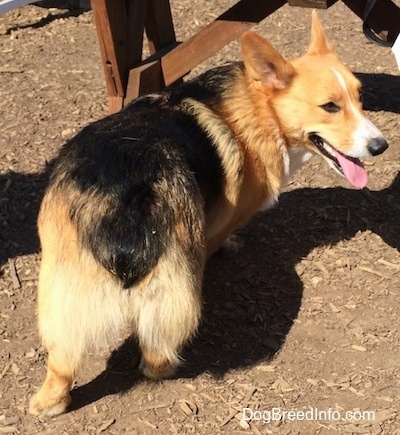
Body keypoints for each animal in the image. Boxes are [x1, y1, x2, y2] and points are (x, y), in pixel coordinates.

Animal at [28, 11, 388, 418]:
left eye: (360, 97)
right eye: (330, 106)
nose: (381, 146)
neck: (262, 110)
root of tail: (121, 188)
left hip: (61, 282)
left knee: (62, 352)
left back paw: (49, 402)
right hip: (172, 273)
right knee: (157, 346)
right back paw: (162, 368)